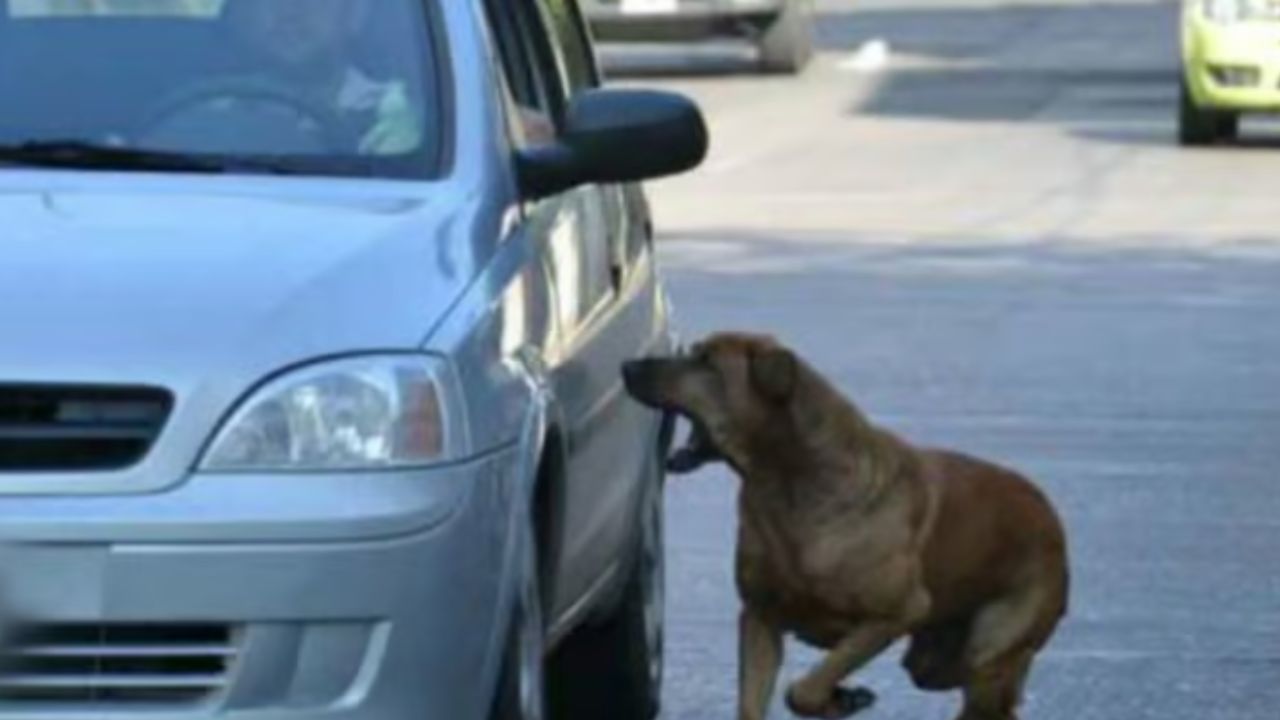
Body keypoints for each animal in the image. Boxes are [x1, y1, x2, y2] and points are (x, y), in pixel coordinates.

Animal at [622, 333, 1070, 717]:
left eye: (705, 362)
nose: (626, 365)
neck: (787, 483)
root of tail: (1051, 517)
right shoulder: (760, 616)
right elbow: (757, 702)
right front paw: (842, 697)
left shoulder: (896, 613)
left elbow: (804, 689)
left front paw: (838, 697)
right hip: (931, 659)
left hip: (989, 644)